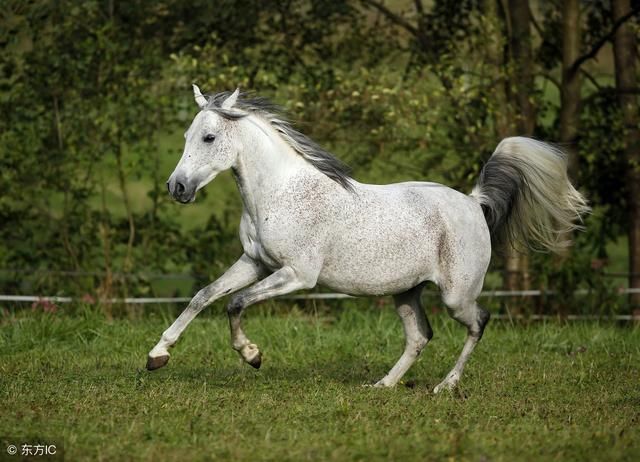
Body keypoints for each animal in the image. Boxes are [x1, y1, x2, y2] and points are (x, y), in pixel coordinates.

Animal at [148, 85, 588, 392]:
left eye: (208, 138)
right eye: (186, 136)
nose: (177, 188)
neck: (279, 191)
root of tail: (473, 202)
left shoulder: (297, 275)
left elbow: (235, 303)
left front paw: (252, 355)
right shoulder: (254, 262)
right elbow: (204, 296)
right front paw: (157, 355)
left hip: (456, 295)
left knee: (478, 322)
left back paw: (446, 386)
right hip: (406, 291)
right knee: (419, 336)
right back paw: (382, 385)